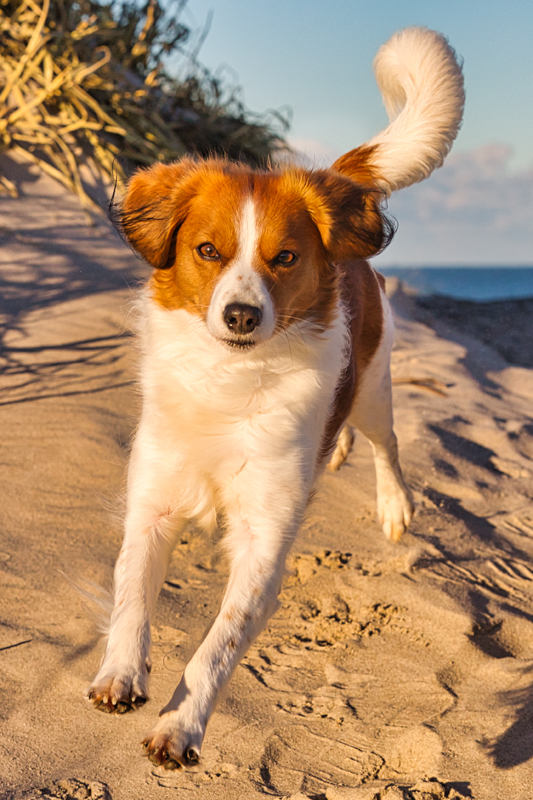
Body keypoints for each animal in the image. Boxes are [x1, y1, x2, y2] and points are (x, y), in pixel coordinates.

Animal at [86, 28, 462, 772]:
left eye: (285, 258)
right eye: (208, 250)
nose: (240, 315)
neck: (228, 381)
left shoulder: (263, 537)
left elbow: (217, 645)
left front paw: (181, 727)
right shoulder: (153, 504)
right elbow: (131, 600)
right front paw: (120, 673)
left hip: (374, 385)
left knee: (387, 442)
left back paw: (392, 503)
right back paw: (336, 453)